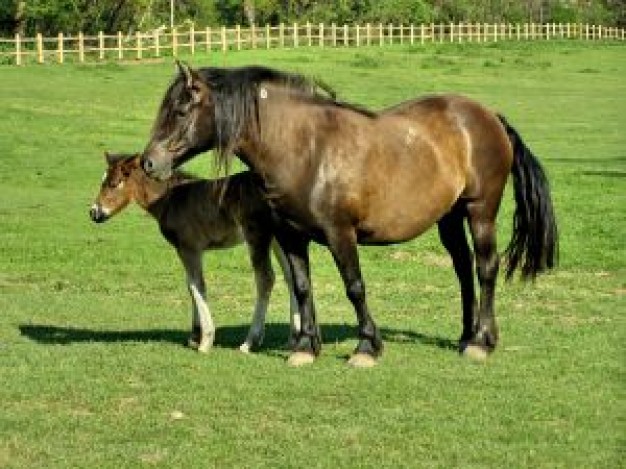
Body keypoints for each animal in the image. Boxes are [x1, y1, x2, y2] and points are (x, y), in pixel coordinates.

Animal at [89, 152, 298, 352]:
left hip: (256, 236)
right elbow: (191, 285)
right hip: (278, 239)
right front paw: (194, 336)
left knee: (265, 279)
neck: (170, 200)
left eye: (113, 183)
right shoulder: (189, 250)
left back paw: (250, 342)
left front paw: (205, 340)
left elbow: (196, 285)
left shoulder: (189, 248)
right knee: (290, 276)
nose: (94, 212)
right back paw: (293, 339)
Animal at [138, 63, 556, 366]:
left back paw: (482, 342)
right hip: (449, 218)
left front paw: (367, 347)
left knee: (486, 268)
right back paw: (466, 335)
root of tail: (488, 116)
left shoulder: (341, 234)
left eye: (180, 110)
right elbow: (302, 287)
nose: (149, 163)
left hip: (479, 211)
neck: (306, 150)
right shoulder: (290, 235)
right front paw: (305, 348)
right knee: (464, 270)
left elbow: (354, 287)